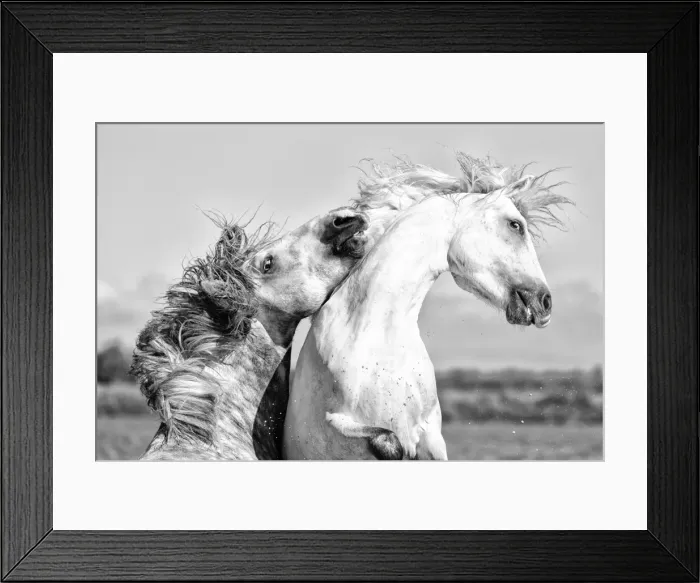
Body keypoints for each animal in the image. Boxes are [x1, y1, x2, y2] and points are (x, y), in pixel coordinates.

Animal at [283, 153, 571, 460]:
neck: (377, 343)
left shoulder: (431, 435)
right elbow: (388, 441)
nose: (545, 303)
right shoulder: (333, 425)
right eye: (515, 225)